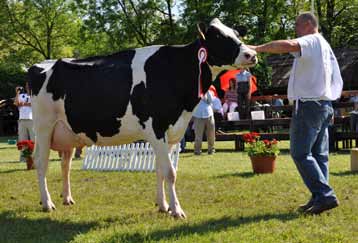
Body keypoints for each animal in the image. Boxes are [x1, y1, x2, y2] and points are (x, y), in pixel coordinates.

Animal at [28, 18, 258, 217]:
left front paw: (163, 206)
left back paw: (66, 198)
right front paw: (177, 210)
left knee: (65, 163)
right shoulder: (156, 128)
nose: (251, 54)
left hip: (66, 131)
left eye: (237, 34)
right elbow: (170, 172)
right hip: (43, 126)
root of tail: (39, 65)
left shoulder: (172, 132)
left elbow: (161, 170)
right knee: (40, 162)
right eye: (218, 37)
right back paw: (47, 203)